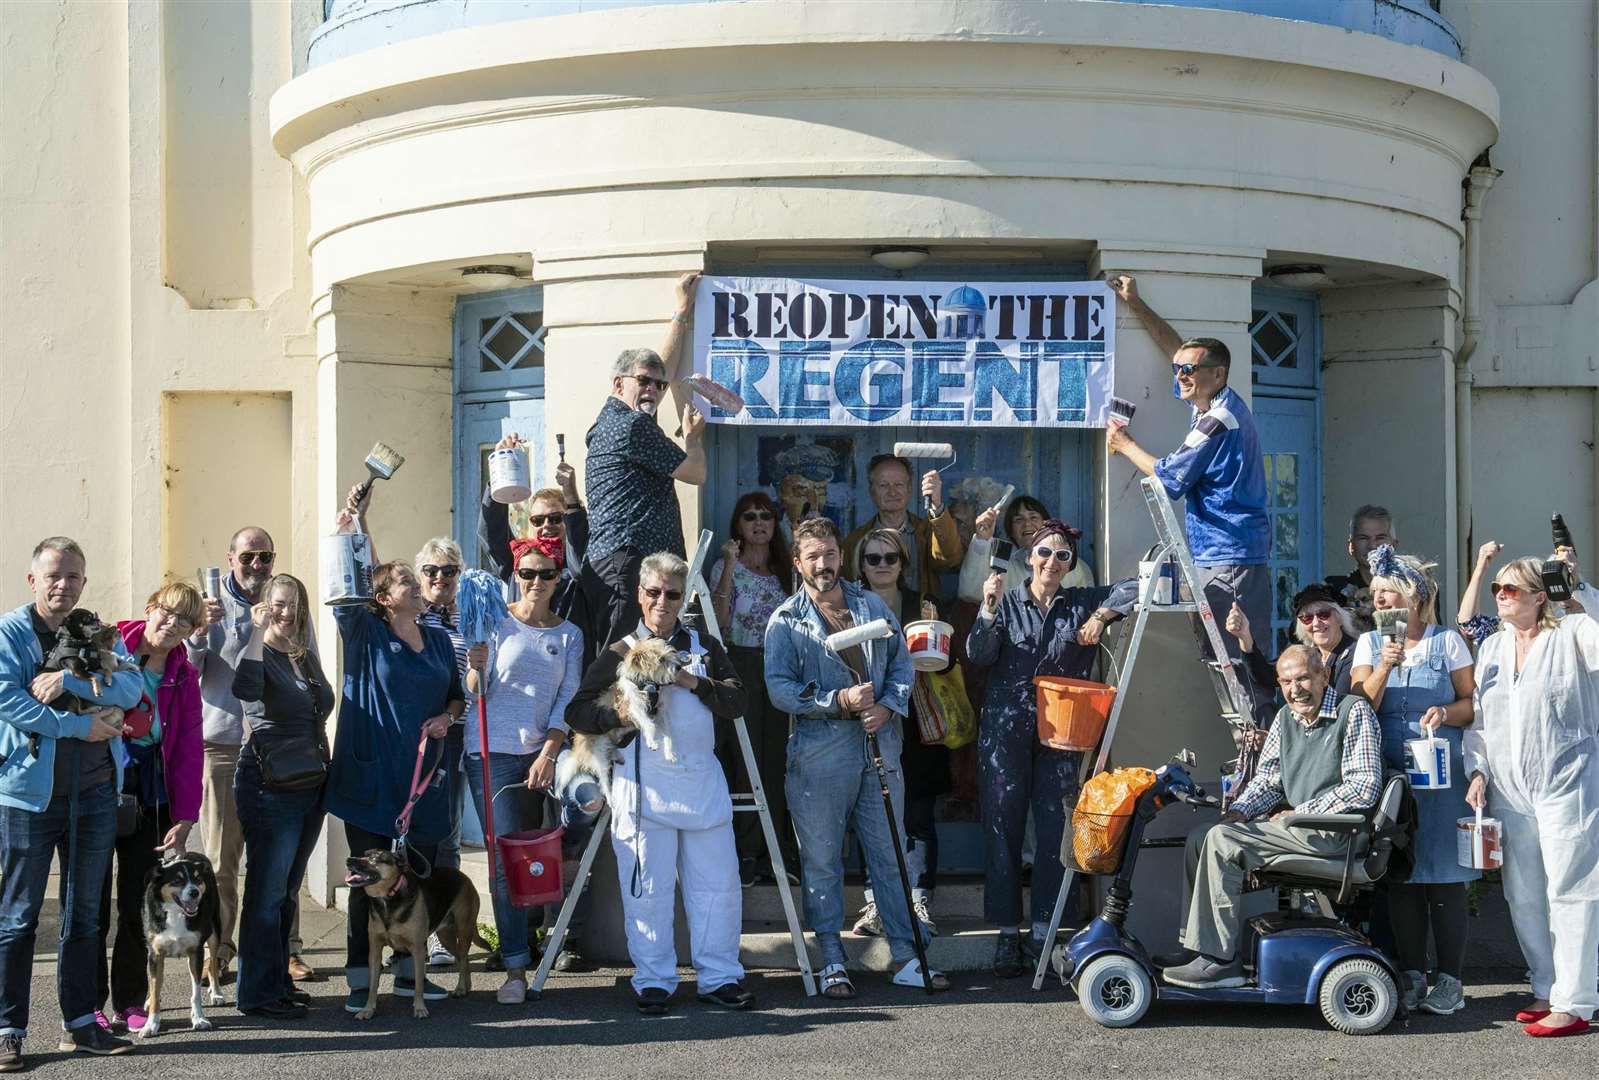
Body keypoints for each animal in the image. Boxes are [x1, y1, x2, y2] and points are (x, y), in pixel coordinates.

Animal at [139, 851, 227, 1036]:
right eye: (177, 880)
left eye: (197, 879)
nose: (194, 893)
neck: (176, 913)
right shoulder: (155, 954)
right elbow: (155, 987)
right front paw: (151, 1024)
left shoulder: (196, 952)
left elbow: (196, 993)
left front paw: (199, 1019)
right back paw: (148, 1000)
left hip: (215, 931)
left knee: (213, 963)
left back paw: (216, 993)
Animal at [348, 851, 492, 1017]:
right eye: (363, 854)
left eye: (375, 858)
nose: (348, 860)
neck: (388, 899)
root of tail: (464, 876)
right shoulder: (375, 952)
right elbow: (372, 985)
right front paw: (367, 1009)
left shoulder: (418, 950)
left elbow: (418, 985)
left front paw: (419, 1008)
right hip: (445, 937)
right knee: (464, 959)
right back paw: (466, 986)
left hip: (463, 930)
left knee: (463, 958)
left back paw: (461, 988)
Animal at [559, 633, 690, 793]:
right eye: (661, 660)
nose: (679, 667)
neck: (647, 684)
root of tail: (577, 748)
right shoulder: (634, 706)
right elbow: (648, 724)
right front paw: (651, 741)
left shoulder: (658, 712)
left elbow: (668, 734)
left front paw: (669, 753)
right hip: (599, 754)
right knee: (604, 783)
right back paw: (610, 795)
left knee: (611, 751)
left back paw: (618, 756)